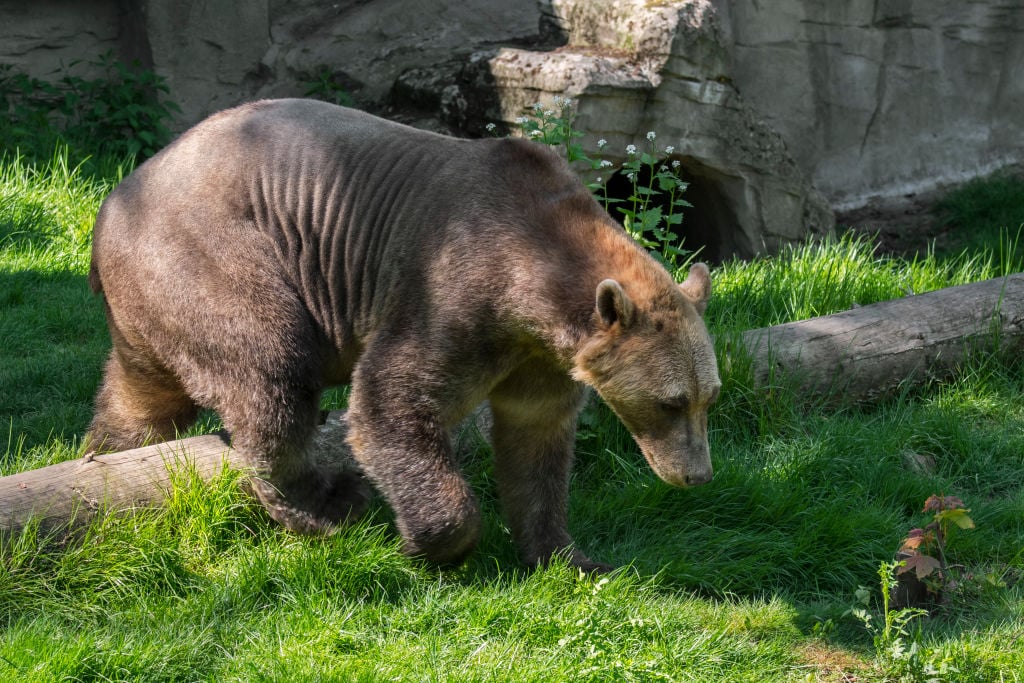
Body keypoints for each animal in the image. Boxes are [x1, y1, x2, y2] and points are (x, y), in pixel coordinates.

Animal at [88, 98, 724, 573]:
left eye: (707, 398)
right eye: (670, 402)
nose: (696, 475)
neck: (535, 285)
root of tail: (113, 201)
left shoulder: (539, 357)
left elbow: (536, 441)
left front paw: (570, 555)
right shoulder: (453, 288)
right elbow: (392, 401)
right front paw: (426, 541)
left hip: (150, 302)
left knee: (140, 397)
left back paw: (103, 452)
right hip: (211, 257)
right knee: (270, 370)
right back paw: (326, 503)